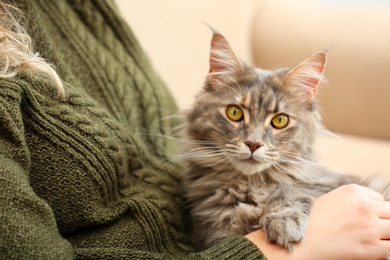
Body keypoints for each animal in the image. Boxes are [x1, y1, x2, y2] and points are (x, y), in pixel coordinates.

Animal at [181, 29, 390, 252]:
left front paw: (283, 224)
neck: (251, 185)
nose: (253, 144)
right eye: (234, 113)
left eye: (280, 120)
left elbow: (292, 192)